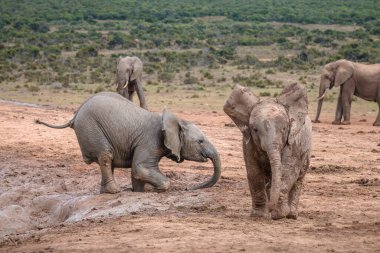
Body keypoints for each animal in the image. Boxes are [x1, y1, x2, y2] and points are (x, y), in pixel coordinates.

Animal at [36, 93, 220, 194]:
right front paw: (156, 189)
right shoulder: (149, 142)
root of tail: (75, 115)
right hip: (90, 127)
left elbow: (137, 170)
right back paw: (114, 191)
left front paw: (138, 191)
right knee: (106, 155)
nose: (189, 189)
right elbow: (140, 168)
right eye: (200, 141)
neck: (175, 120)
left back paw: (106, 192)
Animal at [223, 83, 312, 219]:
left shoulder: (294, 143)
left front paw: (279, 215)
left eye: (284, 128)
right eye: (255, 130)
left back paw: (291, 215)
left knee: (298, 179)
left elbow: (288, 171)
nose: (271, 209)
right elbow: (254, 172)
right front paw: (259, 215)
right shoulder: (248, 142)